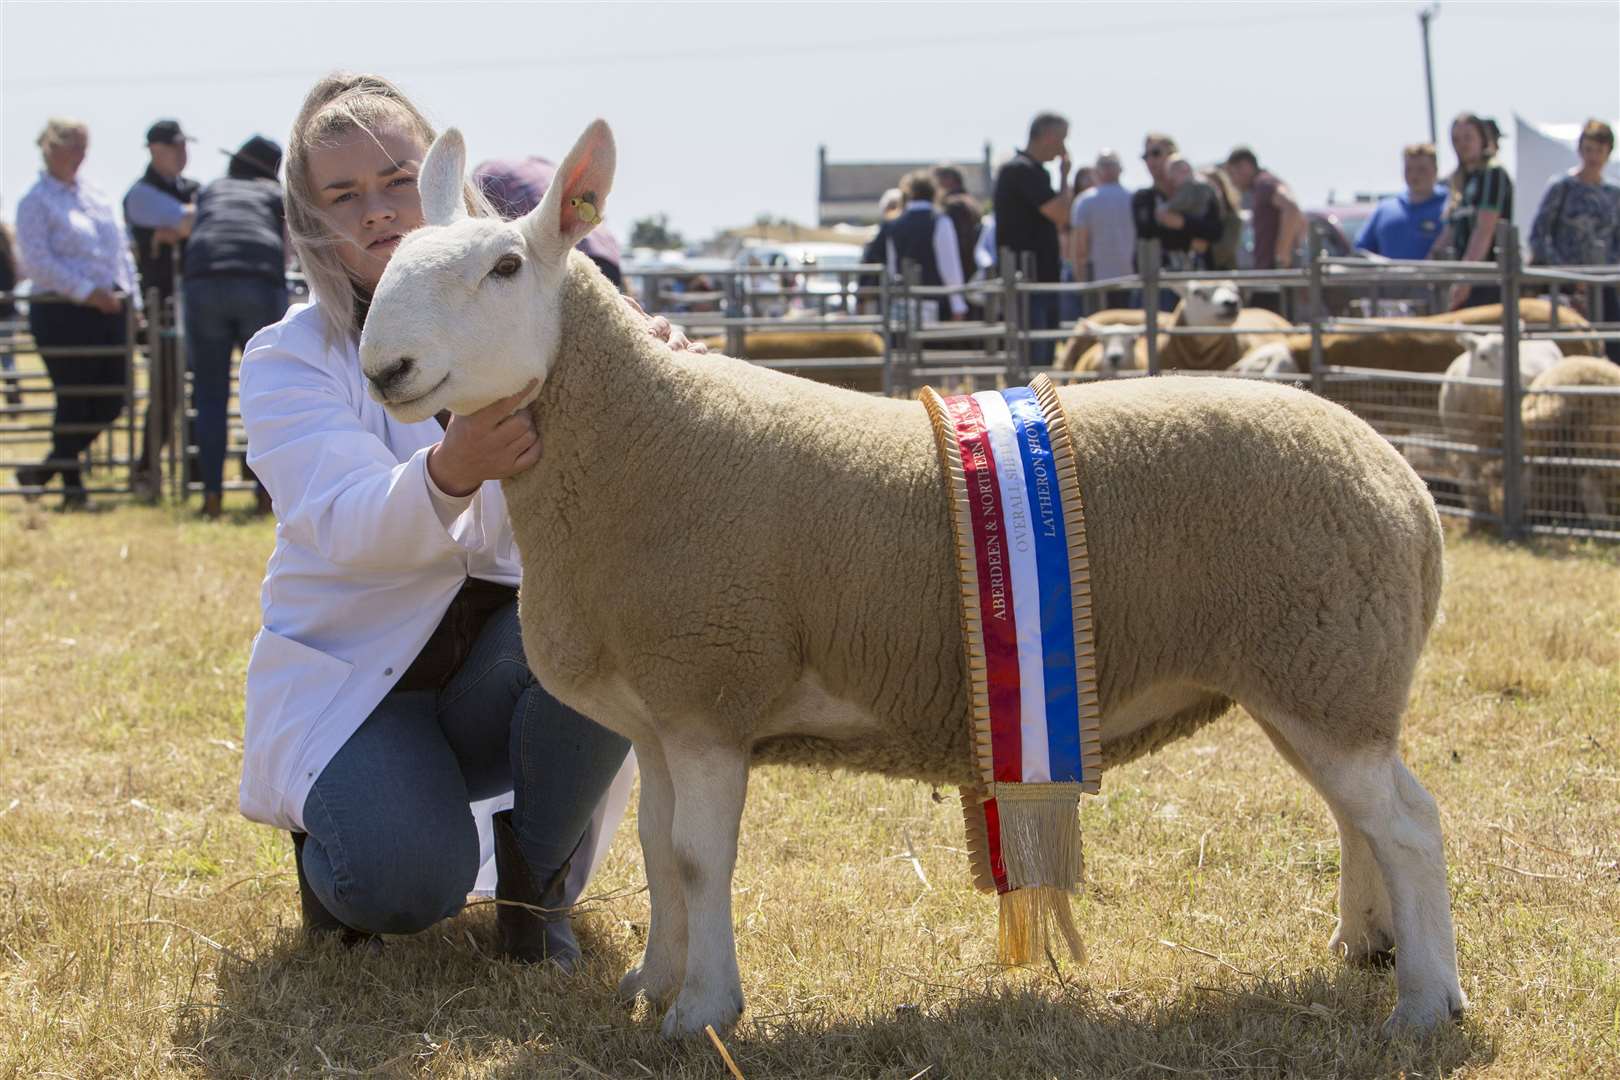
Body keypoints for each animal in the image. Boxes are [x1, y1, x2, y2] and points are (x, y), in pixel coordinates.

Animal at [358, 122, 1470, 1042]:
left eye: (505, 266)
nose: (384, 369)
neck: (641, 432)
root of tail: (1405, 485)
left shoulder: (712, 692)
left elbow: (697, 860)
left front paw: (703, 1012)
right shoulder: (663, 712)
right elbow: (655, 853)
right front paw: (651, 986)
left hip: (1327, 666)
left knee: (1409, 825)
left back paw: (1426, 1004)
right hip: (1316, 676)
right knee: (1363, 820)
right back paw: (1366, 947)